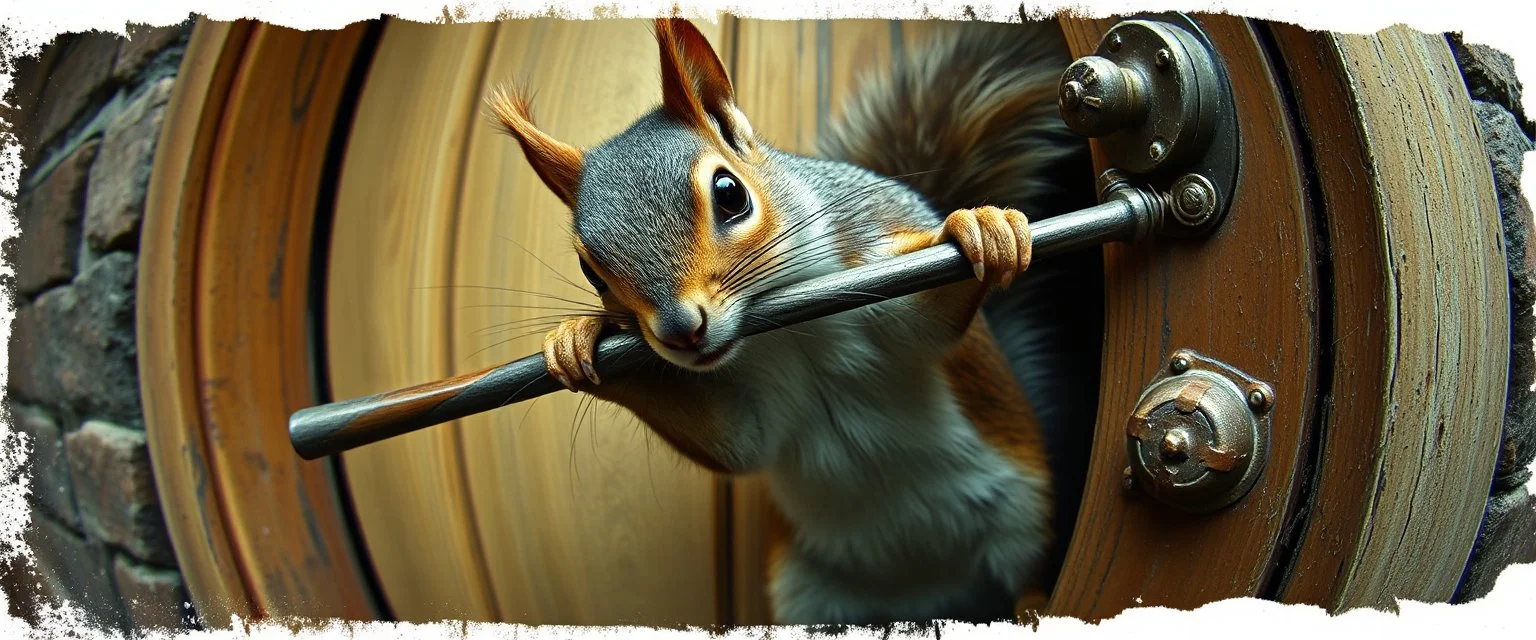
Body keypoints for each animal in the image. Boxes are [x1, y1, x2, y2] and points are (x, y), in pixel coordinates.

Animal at [486, 17, 1094, 625]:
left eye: (729, 193)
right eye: (589, 271)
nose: (682, 331)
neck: (790, 336)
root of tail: (932, 593)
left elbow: (927, 320)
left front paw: (979, 227)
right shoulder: (753, 411)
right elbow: (735, 444)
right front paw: (577, 339)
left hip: (1024, 515)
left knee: (1027, 576)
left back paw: (1034, 607)